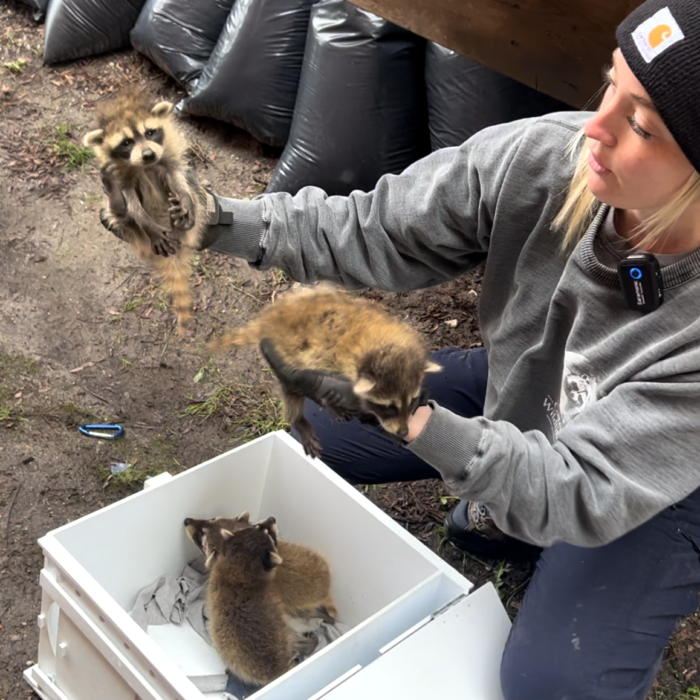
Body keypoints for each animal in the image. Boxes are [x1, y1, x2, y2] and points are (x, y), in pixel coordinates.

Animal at [83, 89, 207, 333]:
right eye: (126, 142)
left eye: (150, 132)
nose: (149, 155)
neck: (145, 166)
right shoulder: (124, 176)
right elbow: (132, 202)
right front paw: (146, 223)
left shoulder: (166, 161)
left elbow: (177, 176)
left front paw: (186, 198)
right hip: (126, 224)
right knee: (120, 213)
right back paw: (116, 202)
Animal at [209, 287, 441, 456]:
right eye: (387, 407)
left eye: (411, 401)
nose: (405, 431)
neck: (381, 346)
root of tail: (270, 319)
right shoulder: (332, 357)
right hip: (286, 352)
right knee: (291, 391)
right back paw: (300, 418)